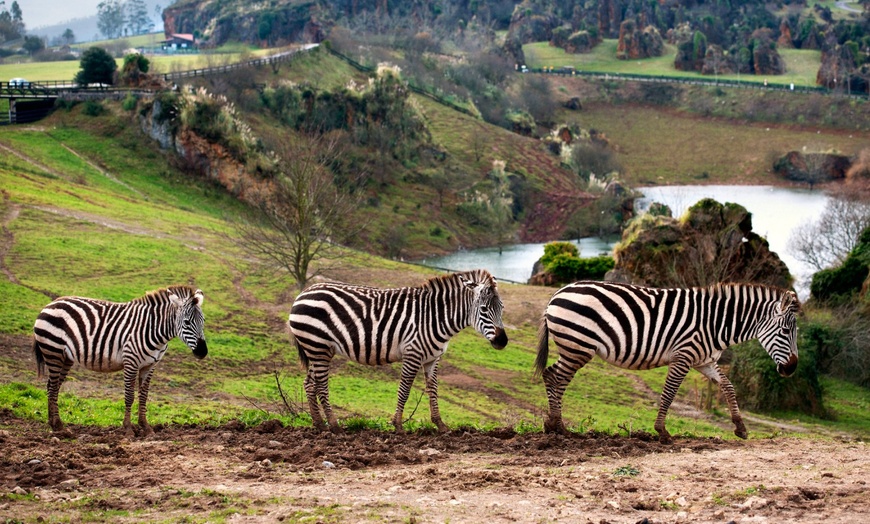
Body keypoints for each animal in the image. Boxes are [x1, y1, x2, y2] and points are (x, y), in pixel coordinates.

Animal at [31, 284, 209, 436]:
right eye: (186, 322)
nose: (203, 352)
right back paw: (59, 426)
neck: (154, 329)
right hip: (53, 351)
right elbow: (129, 396)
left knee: (51, 386)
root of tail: (51, 303)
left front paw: (146, 427)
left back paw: (54, 424)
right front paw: (128, 429)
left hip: (65, 357)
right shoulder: (131, 361)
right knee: (53, 387)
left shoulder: (150, 366)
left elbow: (144, 396)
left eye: (203, 321)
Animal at [290, 268, 508, 432]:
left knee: (309, 383)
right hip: (317, 346)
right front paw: (398, 425)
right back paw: (334, 426)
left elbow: (433, 389)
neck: (435, 317)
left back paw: (319, 424)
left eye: (502, 308)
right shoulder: (413, 353)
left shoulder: (433, 358)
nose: (502, 341)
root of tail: (303, 292)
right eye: (483, 309)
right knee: (321, 385)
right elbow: (405, 388)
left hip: (318, 349)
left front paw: (440, 424)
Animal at [540, 282, 804, 442]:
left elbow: (728, 386)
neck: (716, 323)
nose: (791, 369)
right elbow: (669, 393)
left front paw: (740, 427)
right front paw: (662, 432)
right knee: (556, 377)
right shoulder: (683, 356)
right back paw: (558, 426)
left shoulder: (704, 361)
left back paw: (552, 424)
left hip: (573, 347)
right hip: (578, 346)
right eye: (785, 331)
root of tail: (559, 292)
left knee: (550, 374)